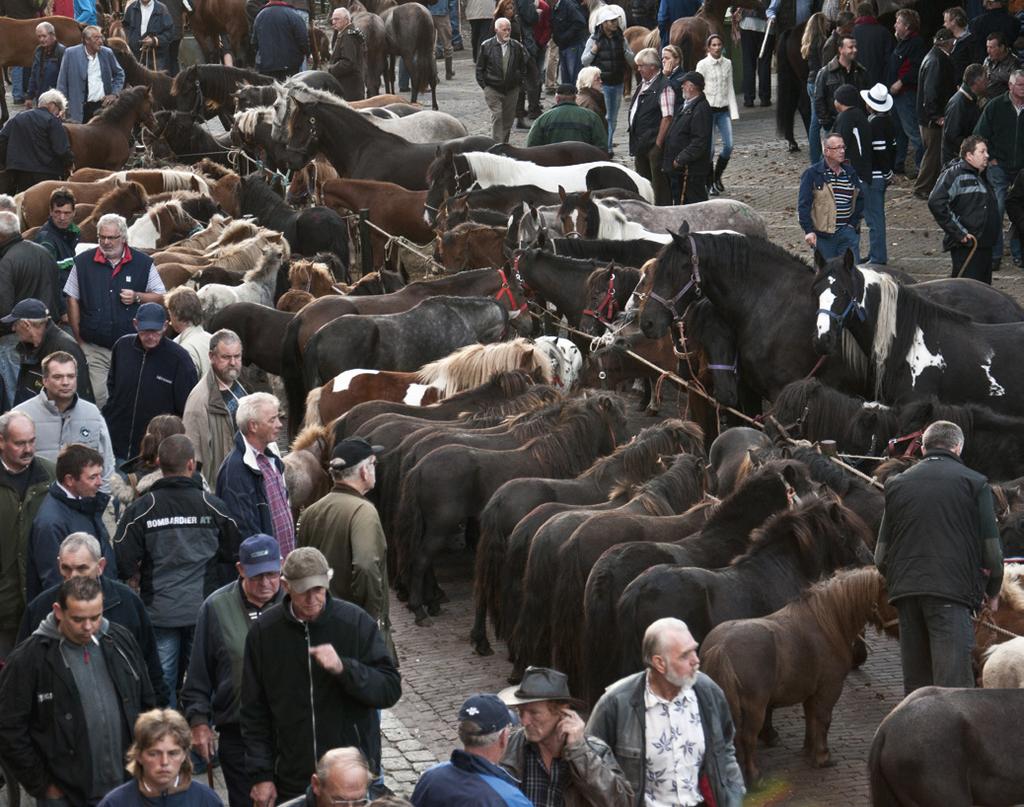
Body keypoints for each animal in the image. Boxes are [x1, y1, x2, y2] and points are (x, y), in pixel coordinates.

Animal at [393, 391, 626, 622]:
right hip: (440, 526)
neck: (557, 453)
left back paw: (431, 601)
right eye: (620, 419)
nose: (623, 445)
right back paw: (420, 608)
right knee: (422, 559)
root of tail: (419, 465)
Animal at [704, 565, 897, 786]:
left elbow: (811, 719)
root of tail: (720, 647)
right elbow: (823, 719)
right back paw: (754, 776)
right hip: (755, 707)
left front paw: (808, 750)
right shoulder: (829, 689)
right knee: (747, 738)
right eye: (891, 595)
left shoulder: (810, 692)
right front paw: (822, 756)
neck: (827, 622)